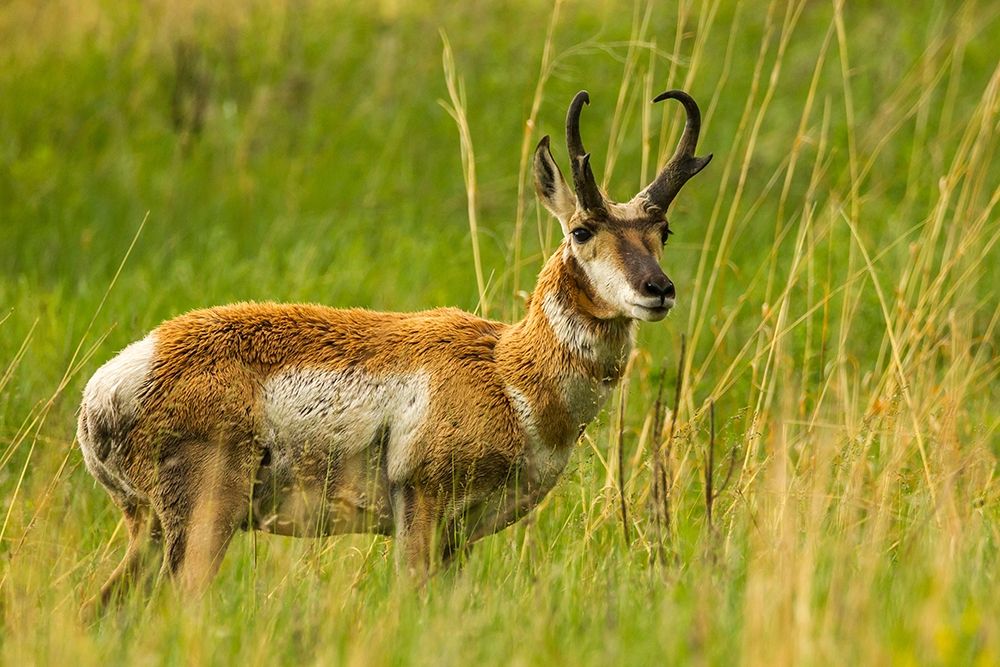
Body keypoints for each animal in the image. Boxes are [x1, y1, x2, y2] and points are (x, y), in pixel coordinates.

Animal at [77, 89, 711, 612]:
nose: (658, 289)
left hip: (150, 530)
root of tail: (110, 384)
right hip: (204, 520)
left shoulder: (460, 537)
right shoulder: (421, 509)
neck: (506, 372)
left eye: (664, 231)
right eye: (582, 231)